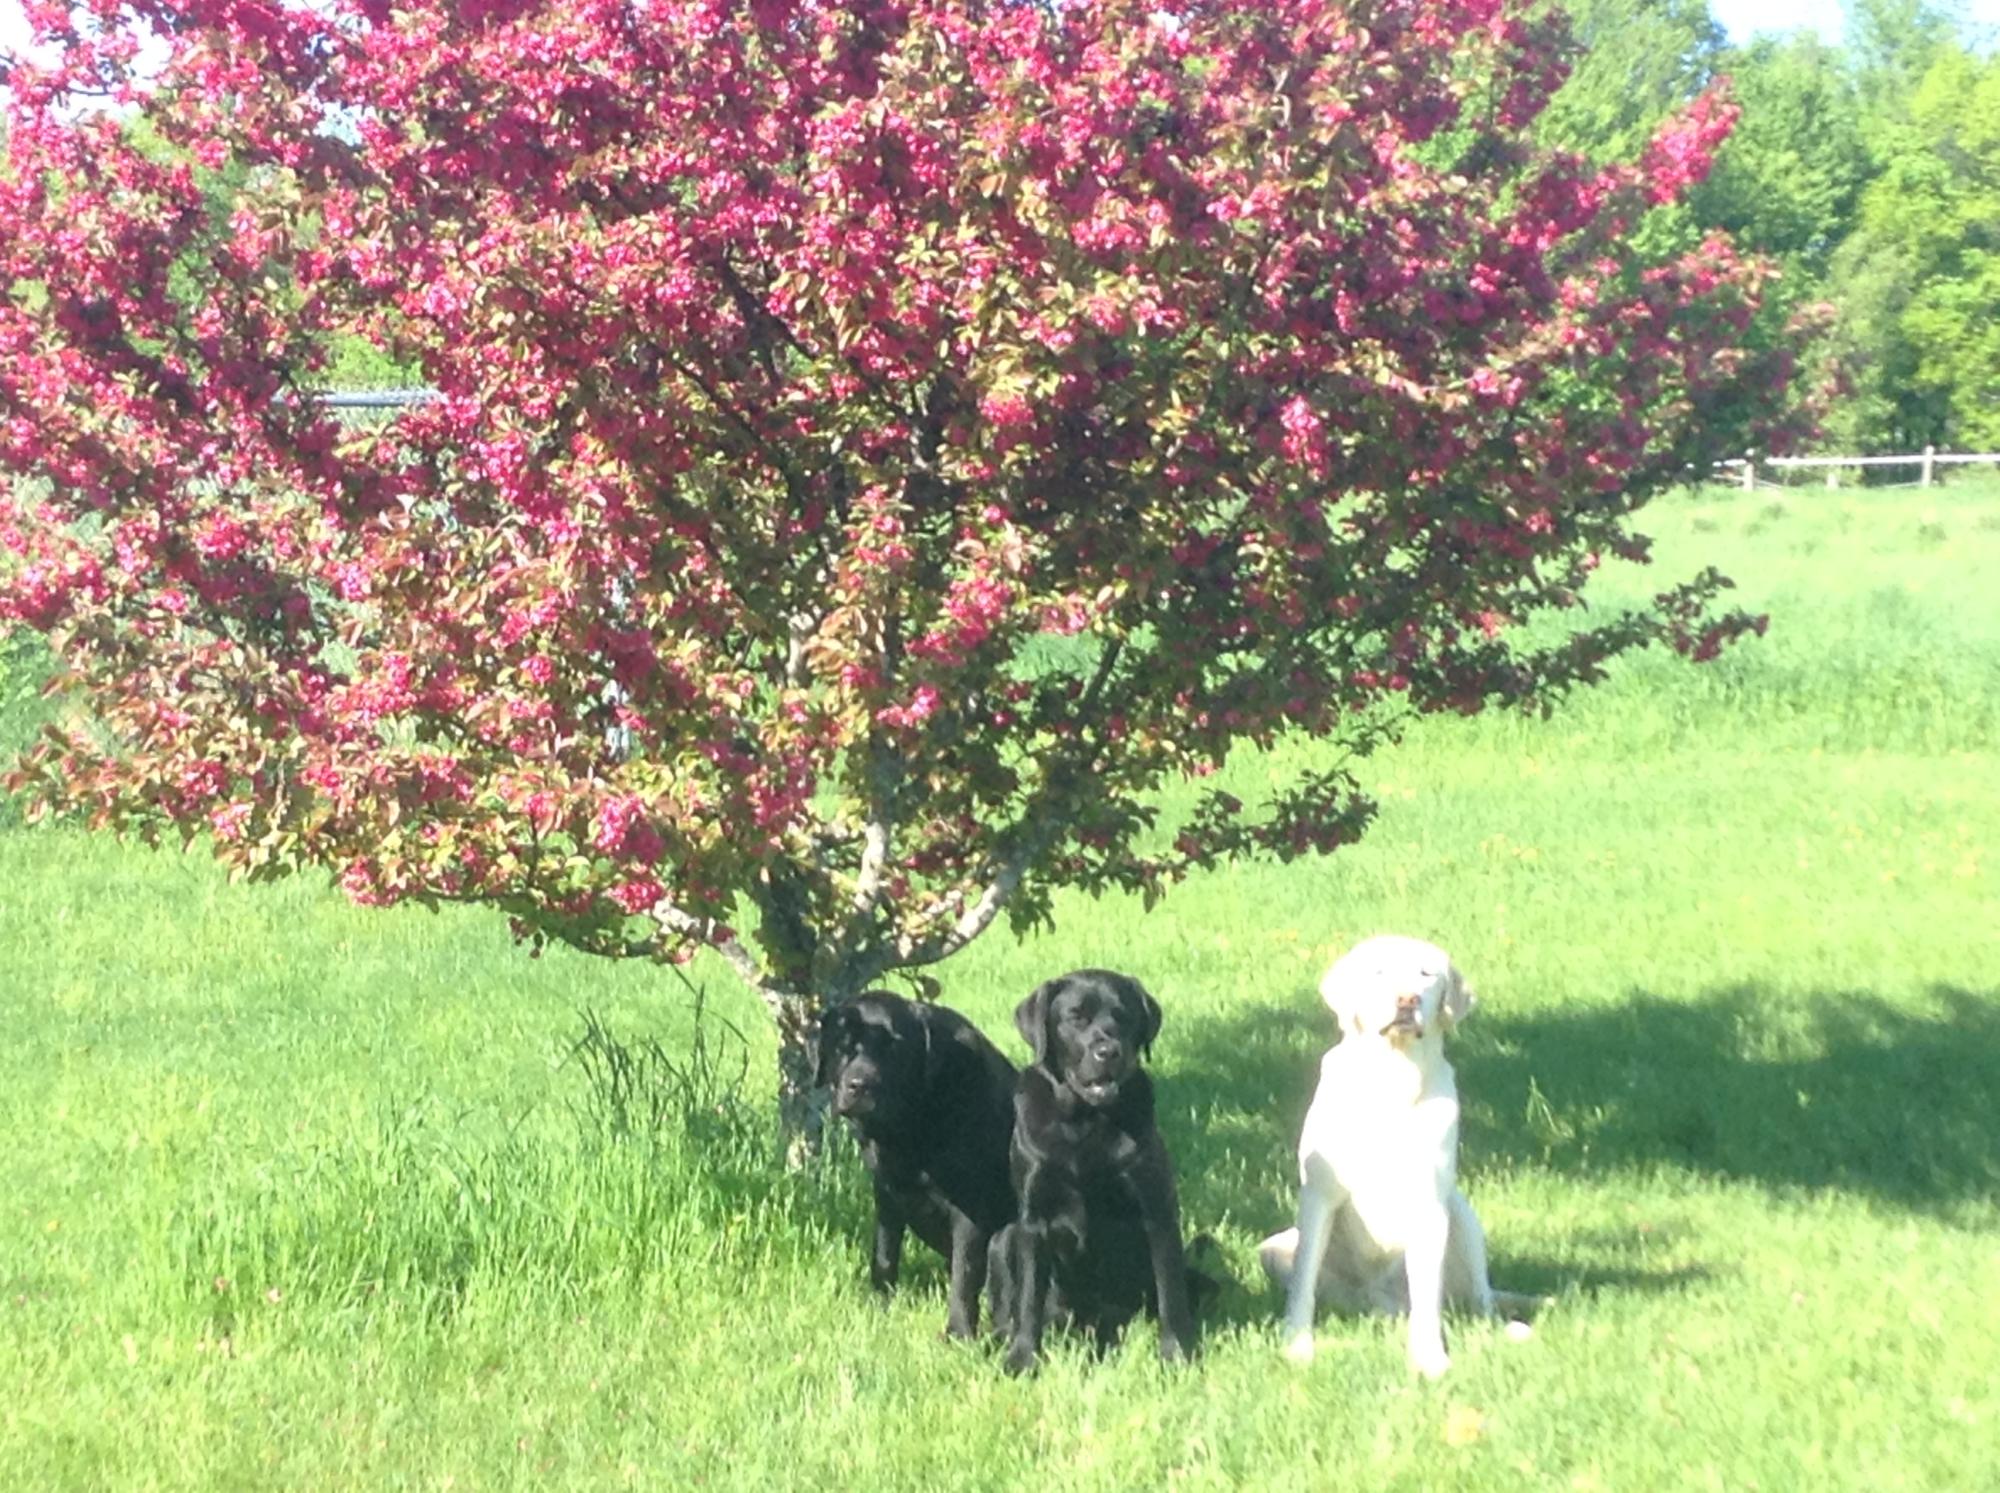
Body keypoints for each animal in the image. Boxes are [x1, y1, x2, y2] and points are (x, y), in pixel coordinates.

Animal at [812, 992, 1016, 1328]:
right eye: (842, 1044)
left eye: (893, 1047)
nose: (859, 1085)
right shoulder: (887, 1195)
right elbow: (884, 1254)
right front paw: (879, 1305)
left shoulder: (971, 1210)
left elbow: (964, 1274)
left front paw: (958, 1331)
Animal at [988, 964, 1192, 1368]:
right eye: (1075, 1017)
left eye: (1124, 1017)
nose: (1108, 1051)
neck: (1084, 1121)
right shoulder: (1033, 1220)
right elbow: (1029, 1298)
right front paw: (1023, 1358)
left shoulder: (1157, 1212)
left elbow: (1170, 1294)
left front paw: (1174, 1354)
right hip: (1002, 1238)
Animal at [1248, 928, 1528, 1368]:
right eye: (1379, 972)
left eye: (1427, 974)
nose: (1407, 1000)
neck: (1393, 1079)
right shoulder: (1319, 1195)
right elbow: (1304, 1281)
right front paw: (1297, 1345)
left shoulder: (1430, 1204)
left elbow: (1428, 1296)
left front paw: (1430, 1360)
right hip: (1274, 1249)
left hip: (1461, 1214)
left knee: (1477, 1301)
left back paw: (1505, 1329)